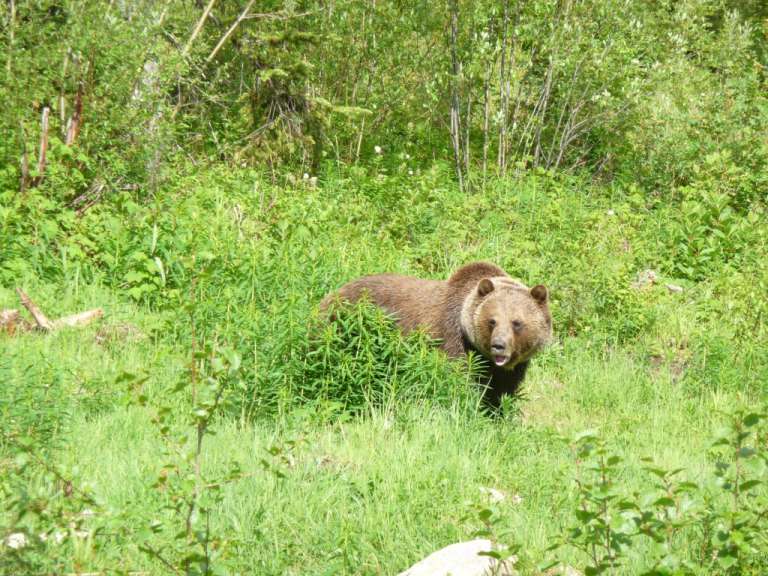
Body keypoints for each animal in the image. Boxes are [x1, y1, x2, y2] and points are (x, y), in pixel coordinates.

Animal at [320, 262, 552, 407]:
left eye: (517, 322)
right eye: (492, 320)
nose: (499, 345)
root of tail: (333, 293)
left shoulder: (513, 368)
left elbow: (502, 392)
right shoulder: (453, 340)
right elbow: (460, 381)